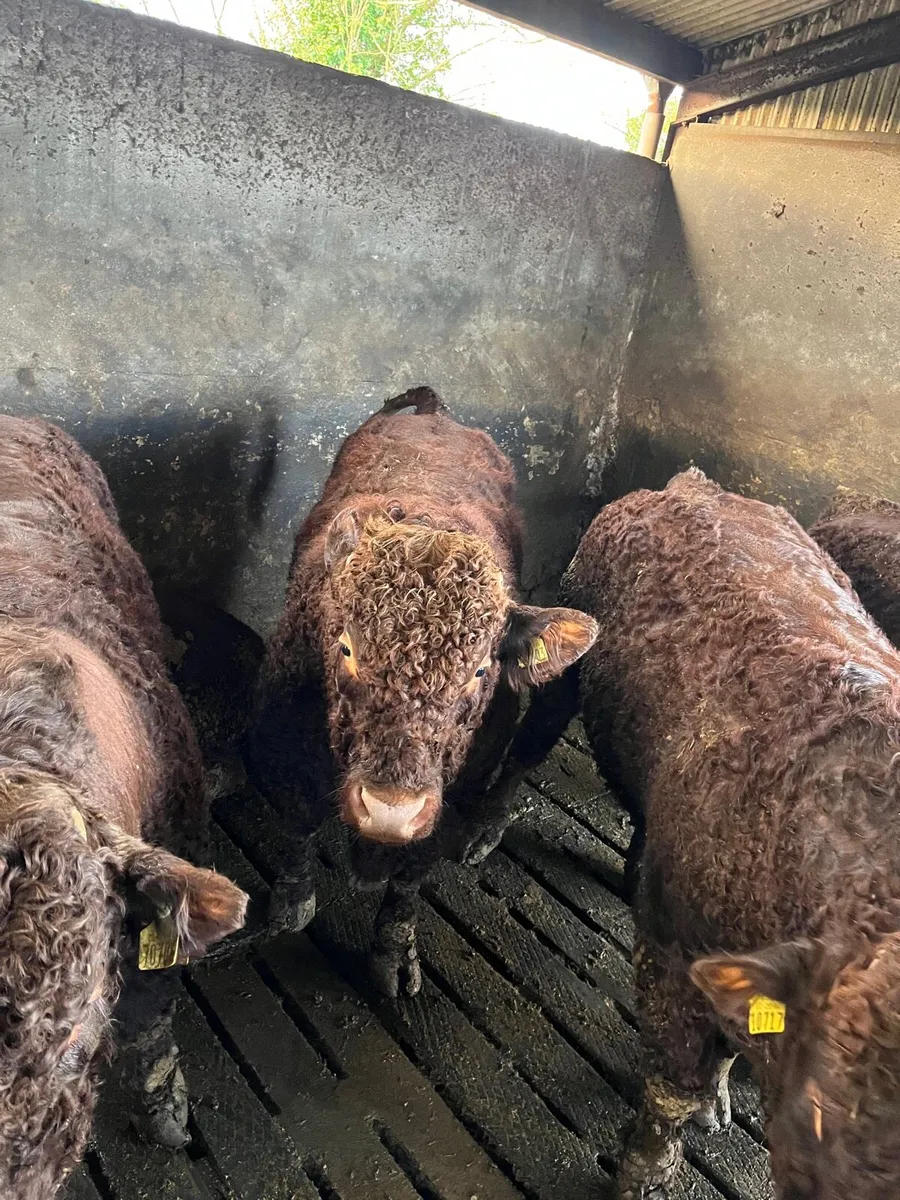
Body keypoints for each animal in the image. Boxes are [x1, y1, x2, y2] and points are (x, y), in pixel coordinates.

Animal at [249, 387, 598, 997]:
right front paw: (291, 905)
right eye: (346, 647)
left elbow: (412, 876)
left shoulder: (458, 787)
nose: (392, 810)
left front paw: (394, 952)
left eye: (480, 671)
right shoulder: (286, 745)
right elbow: (298, 822)